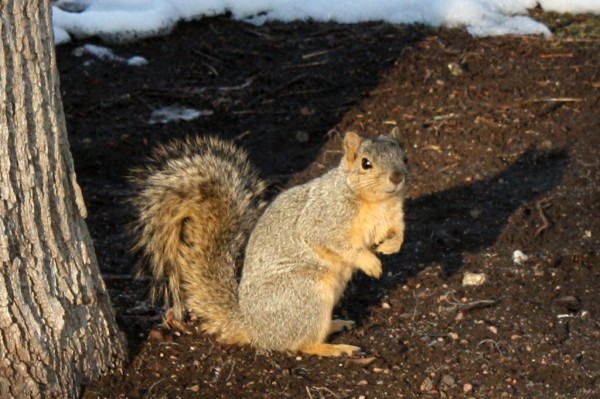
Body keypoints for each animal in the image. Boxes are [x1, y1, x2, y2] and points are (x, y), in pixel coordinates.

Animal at [131, 130, 408, 358]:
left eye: (404, 157)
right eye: (366, 163)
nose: (397, 177)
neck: (376, 202)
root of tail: (253, 327)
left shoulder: (393, 216)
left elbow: (398, 233)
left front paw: (390, 247)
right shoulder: (324, 217)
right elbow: (334, 241)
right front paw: (370, 262)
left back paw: (336, 324)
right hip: (306, 293)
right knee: (299, 343)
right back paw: (333, 348)